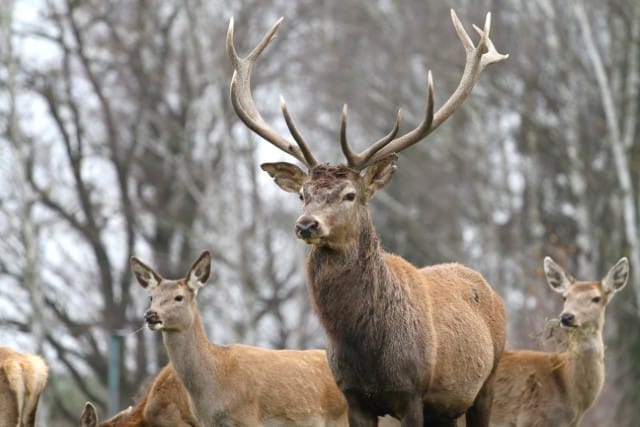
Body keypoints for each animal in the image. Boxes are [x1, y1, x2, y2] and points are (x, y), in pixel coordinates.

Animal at [228, 10, 508, 427]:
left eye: (350, 194)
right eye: (302, 194)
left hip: (486, 381)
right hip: (447, 407)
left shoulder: (412, 393)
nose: (306, 225)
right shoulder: (353, 397)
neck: (367, 352)